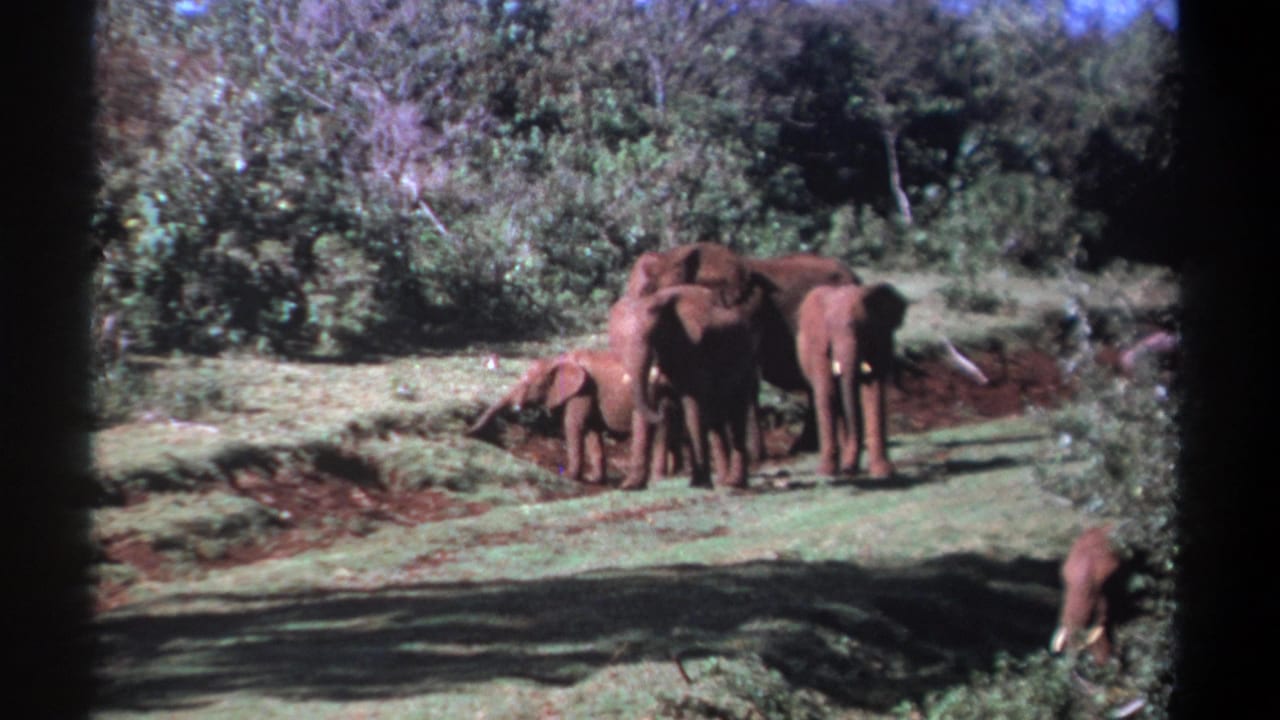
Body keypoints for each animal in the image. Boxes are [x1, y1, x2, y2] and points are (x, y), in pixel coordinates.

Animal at [465, 349, 679, 485]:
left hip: (646, 393)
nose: (466, 432)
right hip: (663, 394)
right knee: (664, 429)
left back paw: (631, 485)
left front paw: (568, 476)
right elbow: (591, 429)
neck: (557, 360)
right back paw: (660, 481)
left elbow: (573, 424)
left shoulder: (582, 390)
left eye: (529, 384)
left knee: (645, 427)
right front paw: (594, 480)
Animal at [608, 284, 760, 490]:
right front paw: (630, 486)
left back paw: (734, 483)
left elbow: (692, 407)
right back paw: (723, 482)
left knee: (736, 413)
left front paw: (699, 483)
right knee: (716, 421)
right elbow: (642, 413)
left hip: (747, 361)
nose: (662, 410)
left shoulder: (692, 351)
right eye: (617, 345)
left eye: (653, 336)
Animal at [795, 282, 907, 478]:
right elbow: (827, 391)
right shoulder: (819, 347)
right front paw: (826, 473)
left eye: (863, 330)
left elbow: (874, 391)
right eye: (830, 329)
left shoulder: (880, 340)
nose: (848, 470)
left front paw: (883, 473)